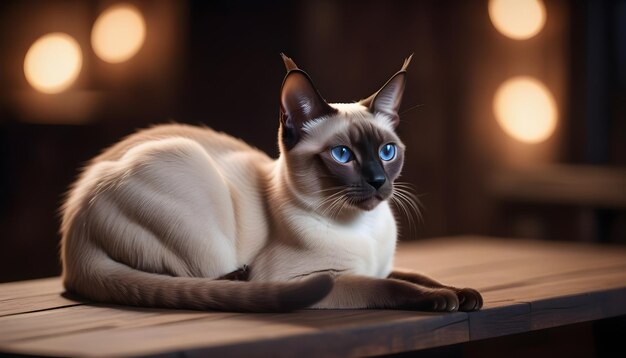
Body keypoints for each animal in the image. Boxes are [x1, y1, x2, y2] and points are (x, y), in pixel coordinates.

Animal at [59, 54, 482, 312]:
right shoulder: (321, 278)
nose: (378, 181)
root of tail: (74, 225)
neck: (364, 230)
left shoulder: (379, 266)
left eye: (388, 151)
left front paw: (463, 294)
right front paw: (442, 299)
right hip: (189, 170)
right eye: (342, 155)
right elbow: (395, 287)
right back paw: (239, 278)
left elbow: (414, 275)